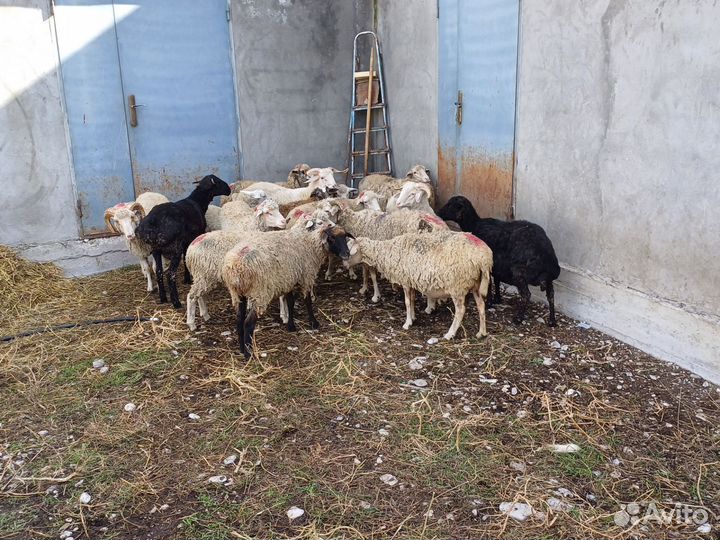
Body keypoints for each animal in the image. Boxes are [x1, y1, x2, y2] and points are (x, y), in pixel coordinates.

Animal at [135, 175, 232, 308]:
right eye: (217, 182)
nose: (229, 189)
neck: (197, 201)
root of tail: (153, 223)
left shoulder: (186, 241)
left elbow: (186, 258)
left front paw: (187, 279)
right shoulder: (193, 237)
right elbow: (186, 258)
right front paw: (188, 279)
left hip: (156, 249)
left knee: (159, 272)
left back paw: (163, 298)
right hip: (175, 247)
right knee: (170, 274)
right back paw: (176, 302)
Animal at [221, 218, 352, 357]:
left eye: (345, 236)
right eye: (331, 238)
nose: (346, 254)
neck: (308, 241)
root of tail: (236, 268)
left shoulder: (288, 279)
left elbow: (290, 302)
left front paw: (291, 326)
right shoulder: (306, 276)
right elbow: (307, 301)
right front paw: (313, 322)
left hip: (237, 293)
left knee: (239, 320)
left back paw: (241, 349)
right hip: (260, 292)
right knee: (248, 323)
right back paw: (248, 354)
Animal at [345, 231, 493, 340]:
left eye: (349, 252)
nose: (345, 265)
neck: (387, 252)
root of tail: (484, 258)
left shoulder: (405, 280)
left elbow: (407, 302)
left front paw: (407, 323)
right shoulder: (411, 281)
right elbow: (412, 300)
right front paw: (413, 317)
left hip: (458, 285)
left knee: (461, 310)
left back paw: (450, 334)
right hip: (476, 284)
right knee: (481, 306)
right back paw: (482, 333)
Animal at [437, 195, 561, 326]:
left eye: (450, 205)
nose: (438, 213)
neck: (474, 225)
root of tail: (547, 261)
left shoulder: (487, 265)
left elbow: (489, 283)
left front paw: (489, 303)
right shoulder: (497, 266)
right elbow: (496, 280)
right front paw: (497, 298)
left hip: (520, 273)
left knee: (527, 295)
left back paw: (518, 318)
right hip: (548, 279)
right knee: (551, 295)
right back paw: (552, 320)